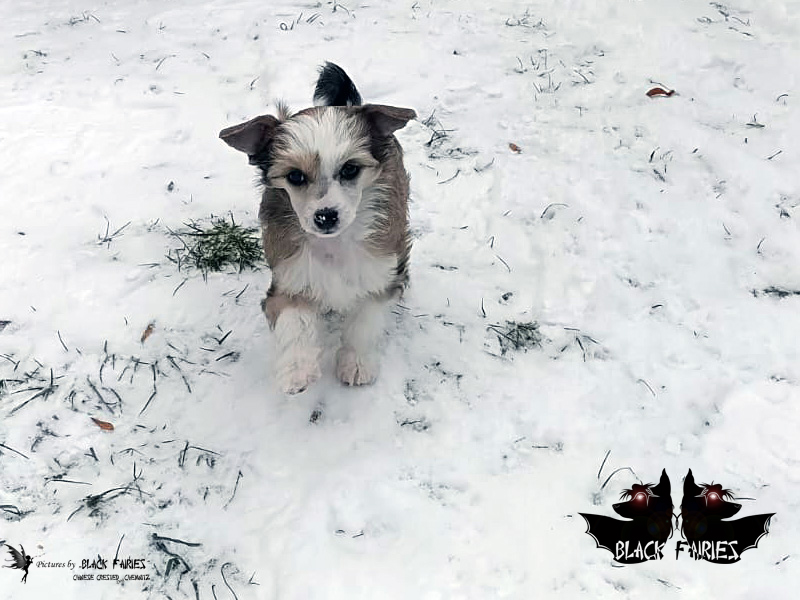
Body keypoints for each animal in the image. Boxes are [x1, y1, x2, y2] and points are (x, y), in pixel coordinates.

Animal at [219, 63, 415, 394]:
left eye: (350, 169)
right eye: (295, 176)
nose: (326, 216)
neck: (335, 244)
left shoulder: (380, 273)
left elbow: (365, 321)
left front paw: (356, 363)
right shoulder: (288, 277)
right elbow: (294, 319)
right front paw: (296, 369)